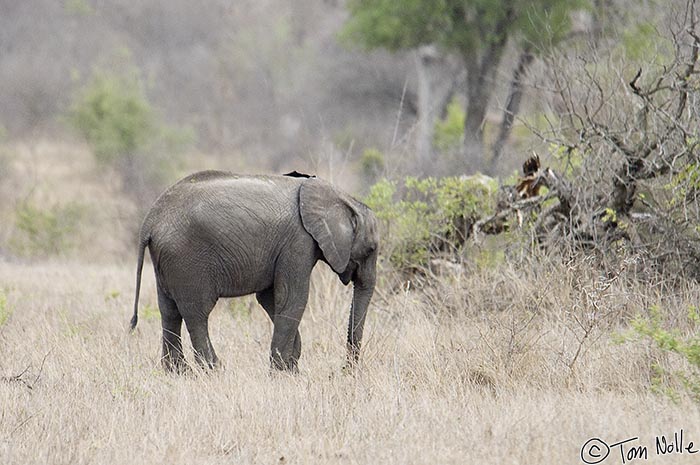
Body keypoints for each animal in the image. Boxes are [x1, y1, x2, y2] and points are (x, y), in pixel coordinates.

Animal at [129, 169, 380, 372]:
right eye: (371, 249)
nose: (344, 371)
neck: (341, 197)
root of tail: (150, 221)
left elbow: (270, 299)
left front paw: (291, 368)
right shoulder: (298, 242)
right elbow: (293, 298)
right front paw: (281, 374)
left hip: (166, 262)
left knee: (169, 312)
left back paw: (178, 373)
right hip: (187, 260)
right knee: (196, 314)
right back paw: (214, 371)